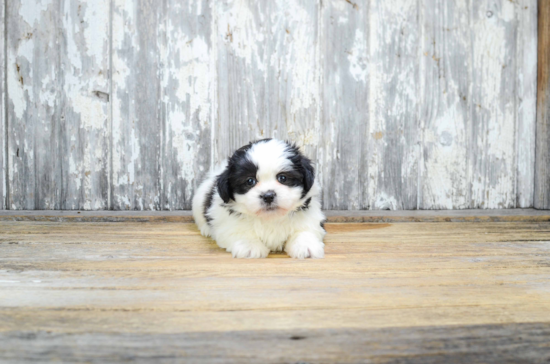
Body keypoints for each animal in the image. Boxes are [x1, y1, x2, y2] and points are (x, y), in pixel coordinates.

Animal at [192, 138, 326, 258]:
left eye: (283, 178)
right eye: (250, 181)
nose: (268, 196)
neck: (270, 218)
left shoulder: (311, 219)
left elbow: (305, 230)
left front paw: (305, 245)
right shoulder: (227, 224)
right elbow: (240, 231)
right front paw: (250, 247)